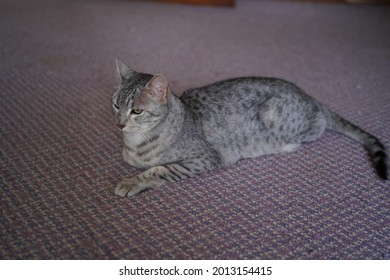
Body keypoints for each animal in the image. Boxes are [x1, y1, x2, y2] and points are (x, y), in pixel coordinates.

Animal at [111, 58, 386, 197]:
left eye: (137, 111)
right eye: (115, 105)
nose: (120, 124)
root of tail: (310, 97)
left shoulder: (204, 158)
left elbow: (158, 169)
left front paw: (132, 182)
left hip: (277, 115)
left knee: (318, 125)